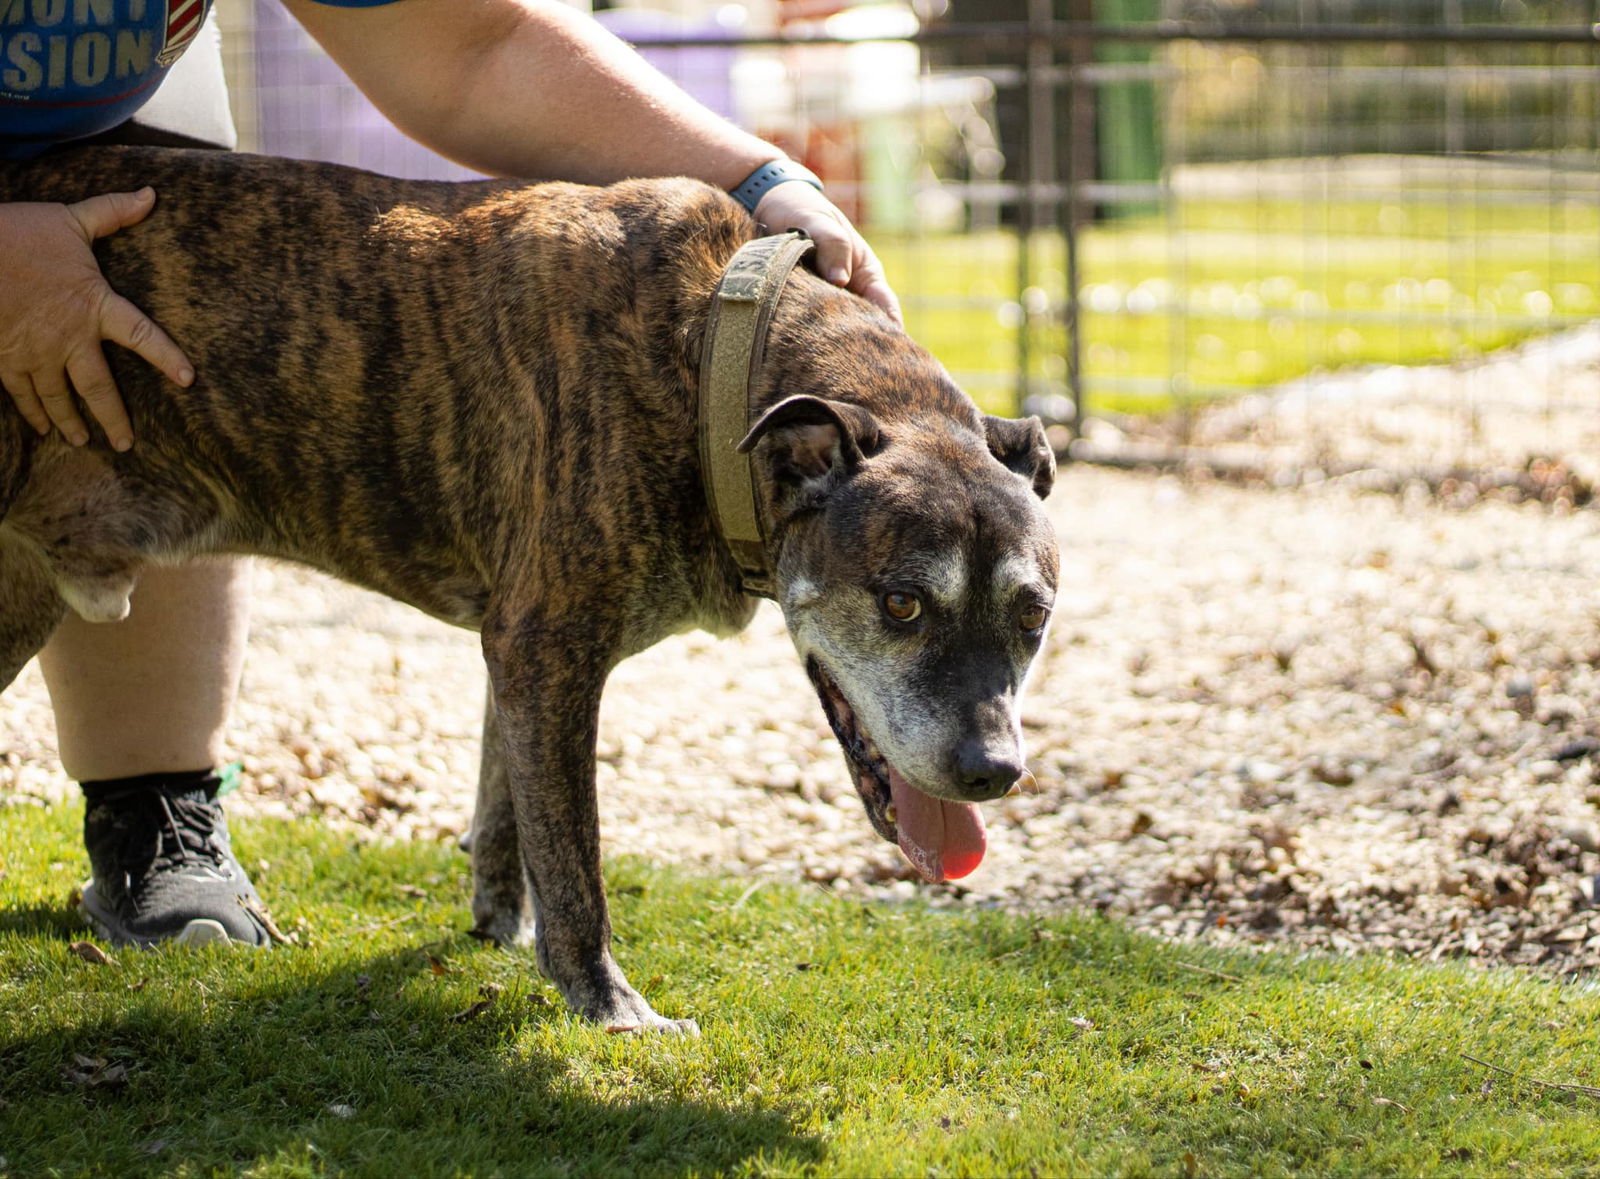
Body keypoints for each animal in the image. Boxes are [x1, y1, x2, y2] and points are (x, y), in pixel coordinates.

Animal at [3, 147, 1062, 1030]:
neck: (707, 362)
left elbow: (506, 808)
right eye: (901, 603)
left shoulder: (512, 652)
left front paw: (500, 928)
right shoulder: (549, 650)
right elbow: (577, 855)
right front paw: (609, 1005)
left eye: (1033, 617)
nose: (993, 771)